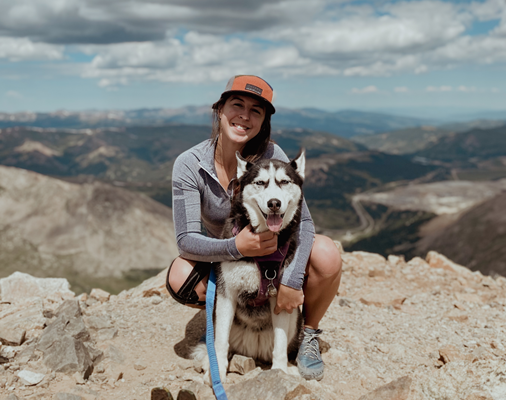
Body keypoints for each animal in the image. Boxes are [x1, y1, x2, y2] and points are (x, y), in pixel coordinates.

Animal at [193, 149, 304, 382]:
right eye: (260, 182)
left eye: (285, 182)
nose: (274, 203)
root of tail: (253, 345)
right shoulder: (226, 294)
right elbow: (220, 340)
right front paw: (217, 372)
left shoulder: (281, 298)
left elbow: (280, 344)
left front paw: (279, 371)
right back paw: (209, 362)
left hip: (295, 316)